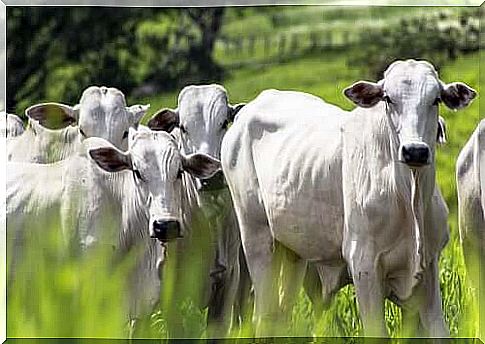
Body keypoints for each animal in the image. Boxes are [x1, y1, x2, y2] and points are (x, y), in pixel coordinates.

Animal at [221, 59, 474, 336]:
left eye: (436, 99)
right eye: (388, 98)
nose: (415, 151)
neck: (410, 197)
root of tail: (251, 107)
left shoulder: (428, 270)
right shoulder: (364, 267)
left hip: (292, 251)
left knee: (281, 315)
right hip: (256, 237)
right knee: (263, 315)